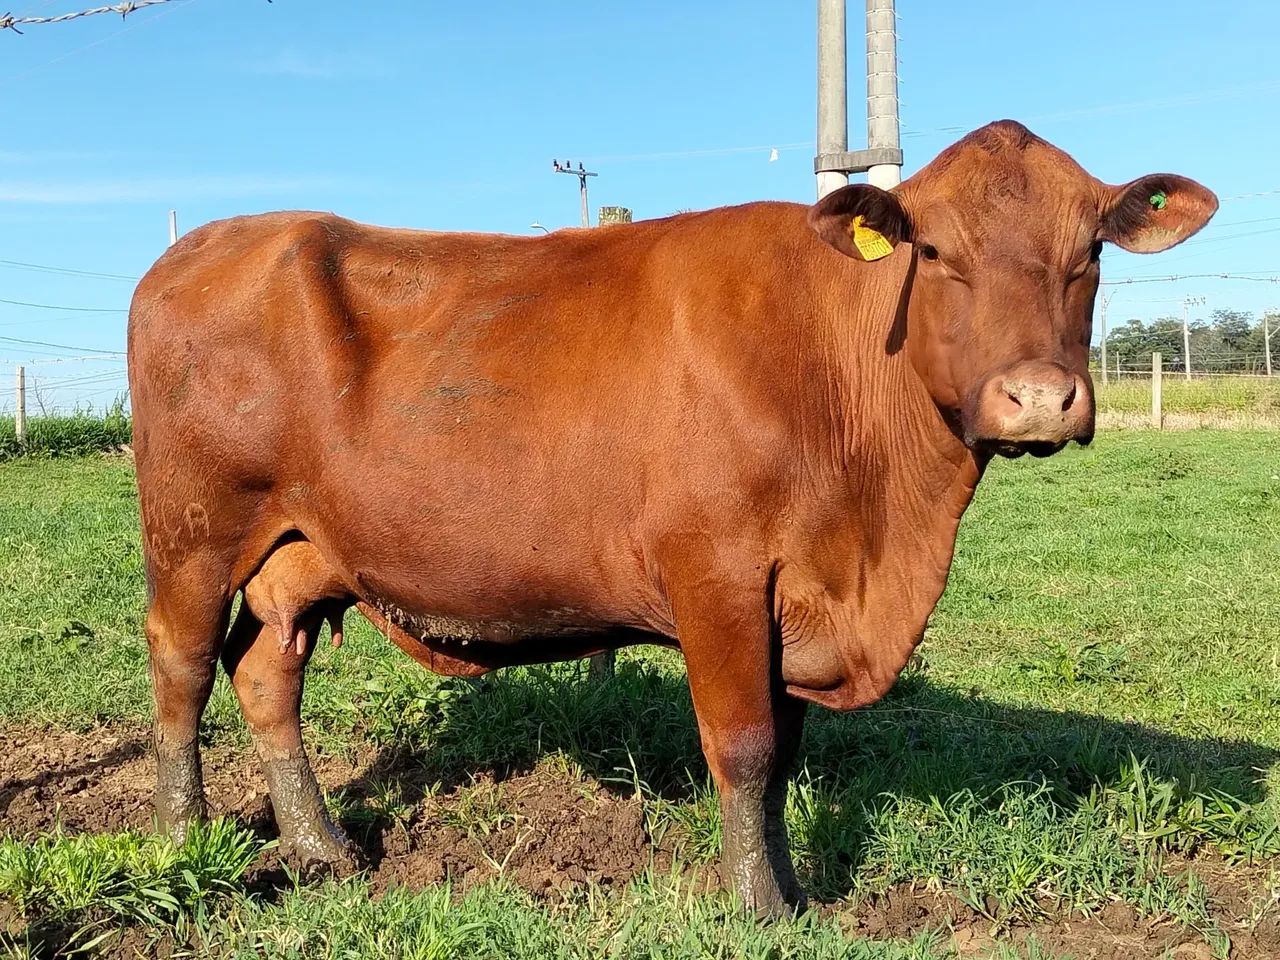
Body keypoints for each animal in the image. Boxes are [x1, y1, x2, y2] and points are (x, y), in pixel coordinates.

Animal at [126, 121, 1216, 916]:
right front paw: (756, 909)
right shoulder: (718, 574)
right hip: (192, 530)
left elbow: (782, 757)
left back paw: (326, 851)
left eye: (1087, 252)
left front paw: (790, 891)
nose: (1037, 398)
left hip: (300, 553)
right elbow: (741, 747)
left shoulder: (793, 600)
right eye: (939, 251)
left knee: (265, 676)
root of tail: (207, 240)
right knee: (183, 666)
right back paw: (184, 843)